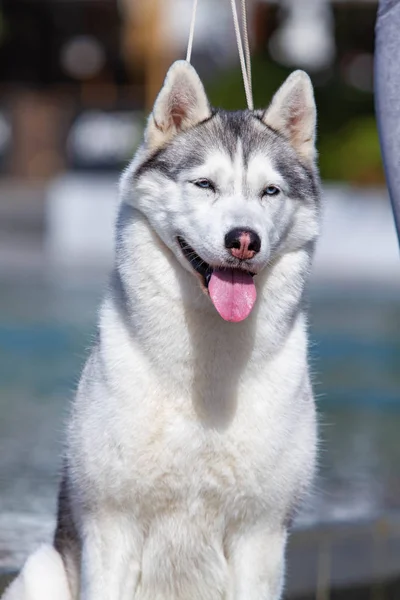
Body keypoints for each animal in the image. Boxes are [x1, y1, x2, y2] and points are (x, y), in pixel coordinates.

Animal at [3, 61, 320, 600]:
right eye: (205, 185)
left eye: (270, 191)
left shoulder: (260, 535)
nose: (244, 240)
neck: (206, 376)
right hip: (43, 570)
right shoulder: (111, 527)